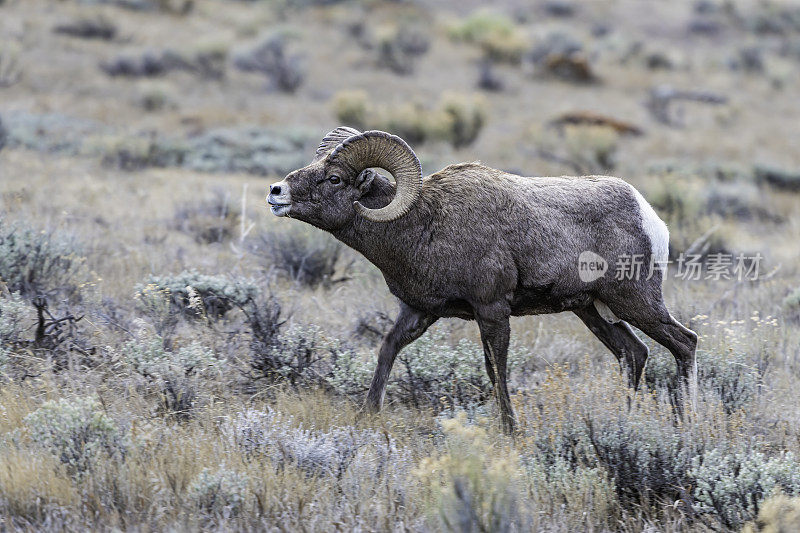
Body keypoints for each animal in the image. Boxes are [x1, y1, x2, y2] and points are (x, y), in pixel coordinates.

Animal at [268, 128, 692, 432]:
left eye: (335, 178)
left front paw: (510, 429)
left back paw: (685, 421)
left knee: (685, 344)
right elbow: (387, 350)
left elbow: (496, 369)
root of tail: (650, 218)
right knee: (633, 354)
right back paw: (625, 420)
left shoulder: (491, 310)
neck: (423, 224)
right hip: (594, 311)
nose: (276, 192)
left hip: (636, 303)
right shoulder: (419, 312)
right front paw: (367, 415)